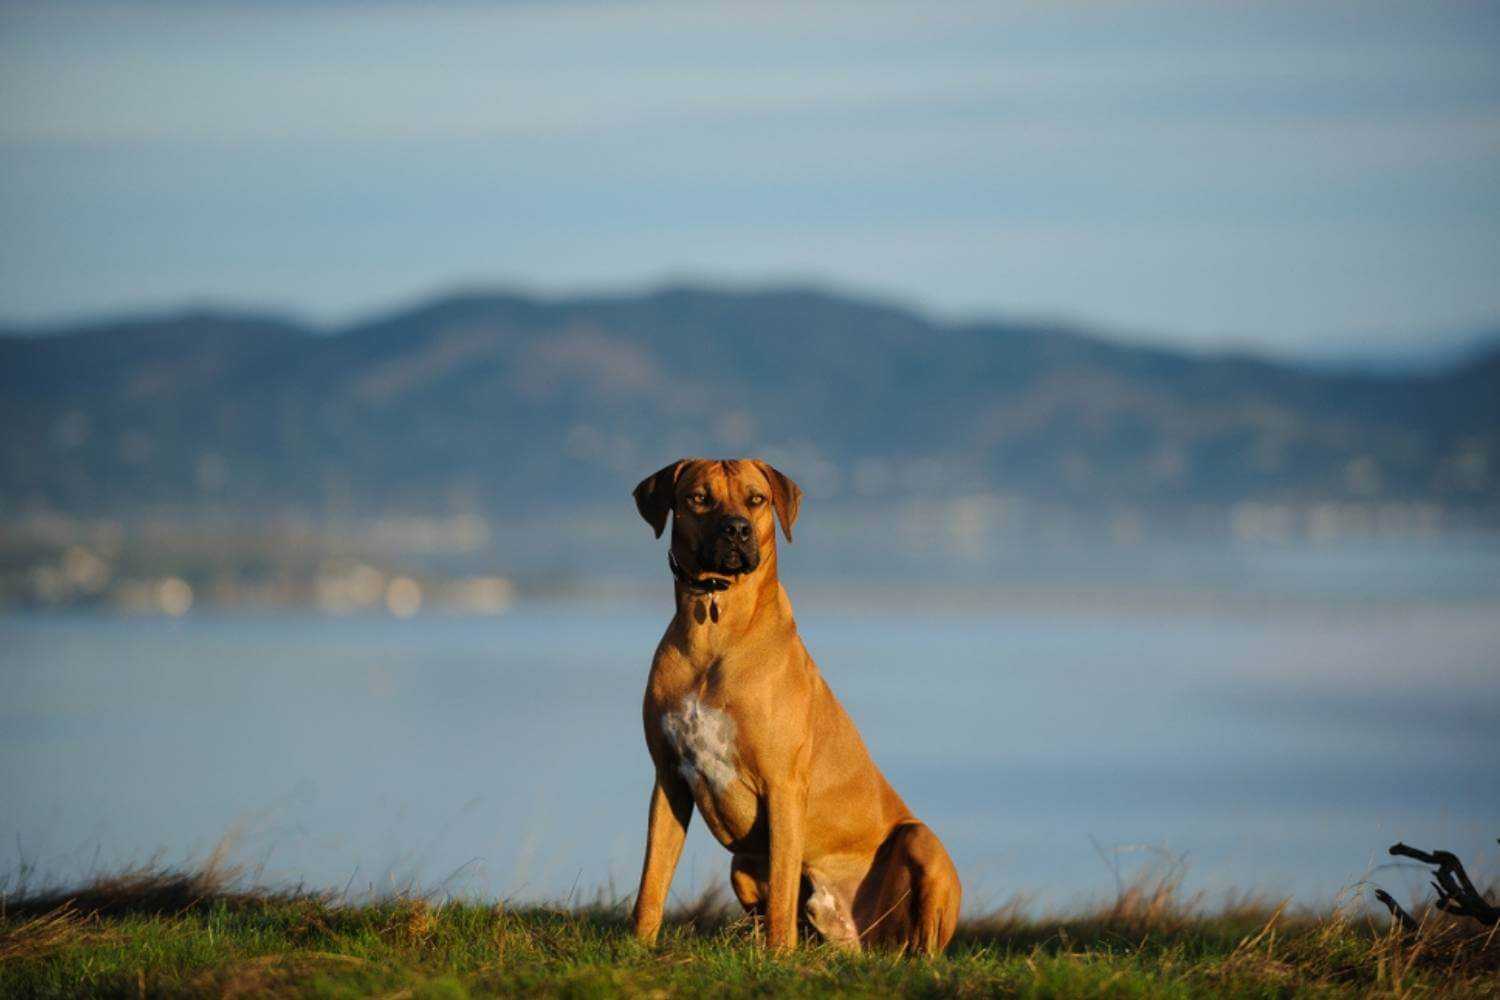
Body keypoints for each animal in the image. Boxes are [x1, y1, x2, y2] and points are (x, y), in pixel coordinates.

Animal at [624, 458, 960, 953]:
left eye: (756, 499)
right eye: (698, 498)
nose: (737, 529)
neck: (715, 624)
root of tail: (862, 937)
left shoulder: (782, 785)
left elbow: (783, 887)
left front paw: (778, 955)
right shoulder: (670, 779)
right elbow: (652, 879)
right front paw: (639, 945)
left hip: (919, 841)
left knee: (924, 944)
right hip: (742, 866)